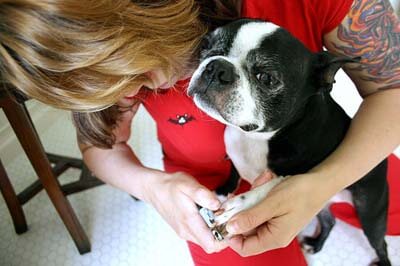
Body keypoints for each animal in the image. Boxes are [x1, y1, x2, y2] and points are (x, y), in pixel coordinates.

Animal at [188, 19, 390, 266]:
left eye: (266, 78)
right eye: (206, 46)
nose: (216, 67)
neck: (255, 138)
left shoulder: (307, 176)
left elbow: (269, 187)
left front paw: (238, 205)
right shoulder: (234, 155)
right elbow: (233, 173)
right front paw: (221, 193)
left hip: (370, 210)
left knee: (380, 242)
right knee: (329, 220)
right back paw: (316, 243)